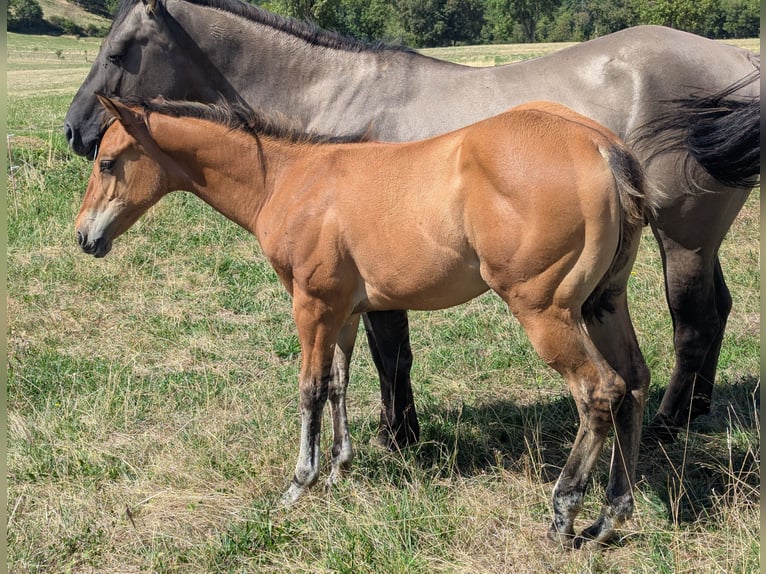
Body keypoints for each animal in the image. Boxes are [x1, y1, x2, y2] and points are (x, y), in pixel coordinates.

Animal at [64, 0, 761, 447]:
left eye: (120, 50)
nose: (74, 129)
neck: (336, 98)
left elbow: (389, 352)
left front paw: (398, 435)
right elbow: (384, 353)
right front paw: (395, 428)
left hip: (684, 239)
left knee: (694, 322)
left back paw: (671, 421)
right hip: (695, 240)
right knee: (717, 311)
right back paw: (696, 411)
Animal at [76, 95, 660, 546]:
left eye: (107, 162)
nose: (84, 236)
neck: (288, 179)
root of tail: (601, 145)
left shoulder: (311, 305)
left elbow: (310, 388)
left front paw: (300, 483)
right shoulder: (345, 311)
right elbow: (338, 382)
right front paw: (339, 469)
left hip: (544, 310)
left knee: (599, 392)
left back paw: (563, 514)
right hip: (603, 303)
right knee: (633, 383)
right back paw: (609, 517)